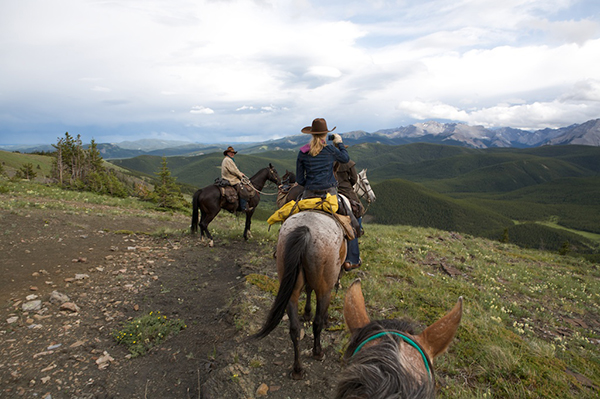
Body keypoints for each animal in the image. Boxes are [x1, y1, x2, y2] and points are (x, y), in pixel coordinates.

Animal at [253, 211, 346, 380]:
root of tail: (306, 229)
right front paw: (325, 319)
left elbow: (308, 290)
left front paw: (306, 313)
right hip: (324, 287)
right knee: (317, 322)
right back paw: (317, 352)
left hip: (291, 286)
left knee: (294, 328)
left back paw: (297, 369)